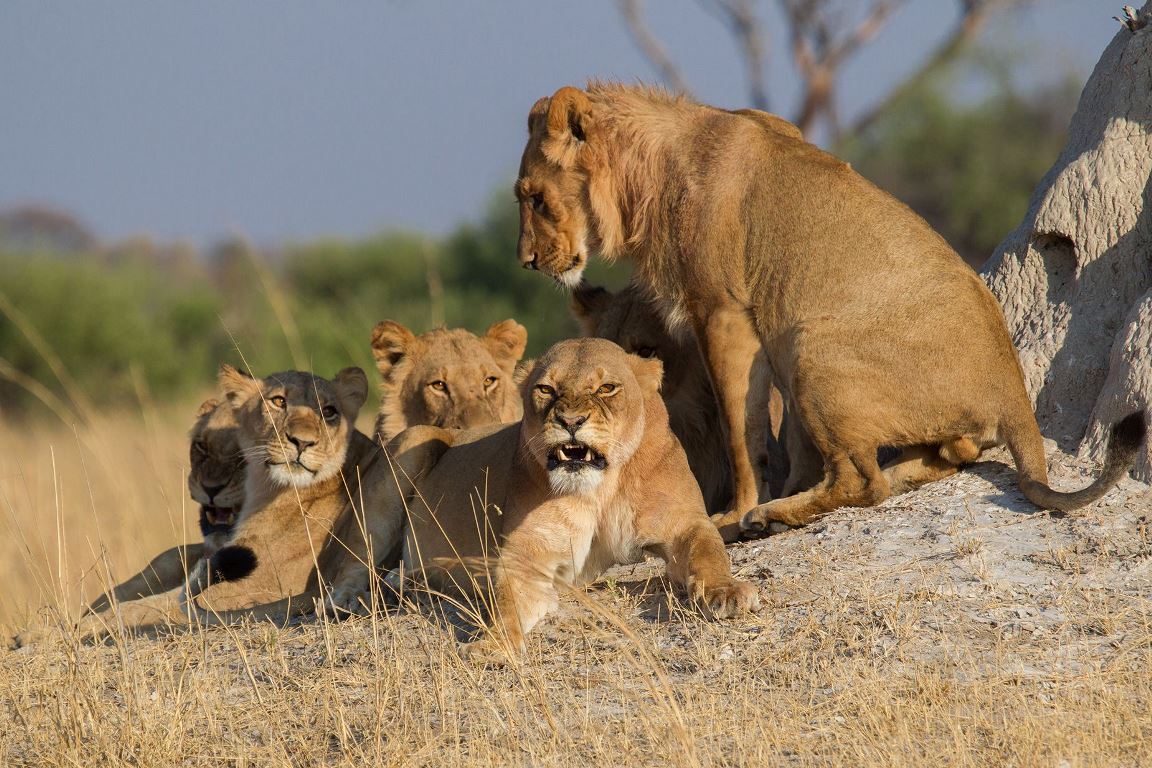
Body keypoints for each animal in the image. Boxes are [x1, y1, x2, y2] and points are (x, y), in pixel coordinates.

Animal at [513, 82, 1142, 534]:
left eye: (535, 199)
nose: (527, 262)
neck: (652, 169)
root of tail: (1013, 390)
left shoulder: (724, 313)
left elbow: (742, 428)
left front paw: (736, 512)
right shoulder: (765, 324)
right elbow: (787, 435)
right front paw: (788, 485)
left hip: (812, 346)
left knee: (863, 483)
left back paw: (771, 516)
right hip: (809, 350)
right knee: (938, 457)